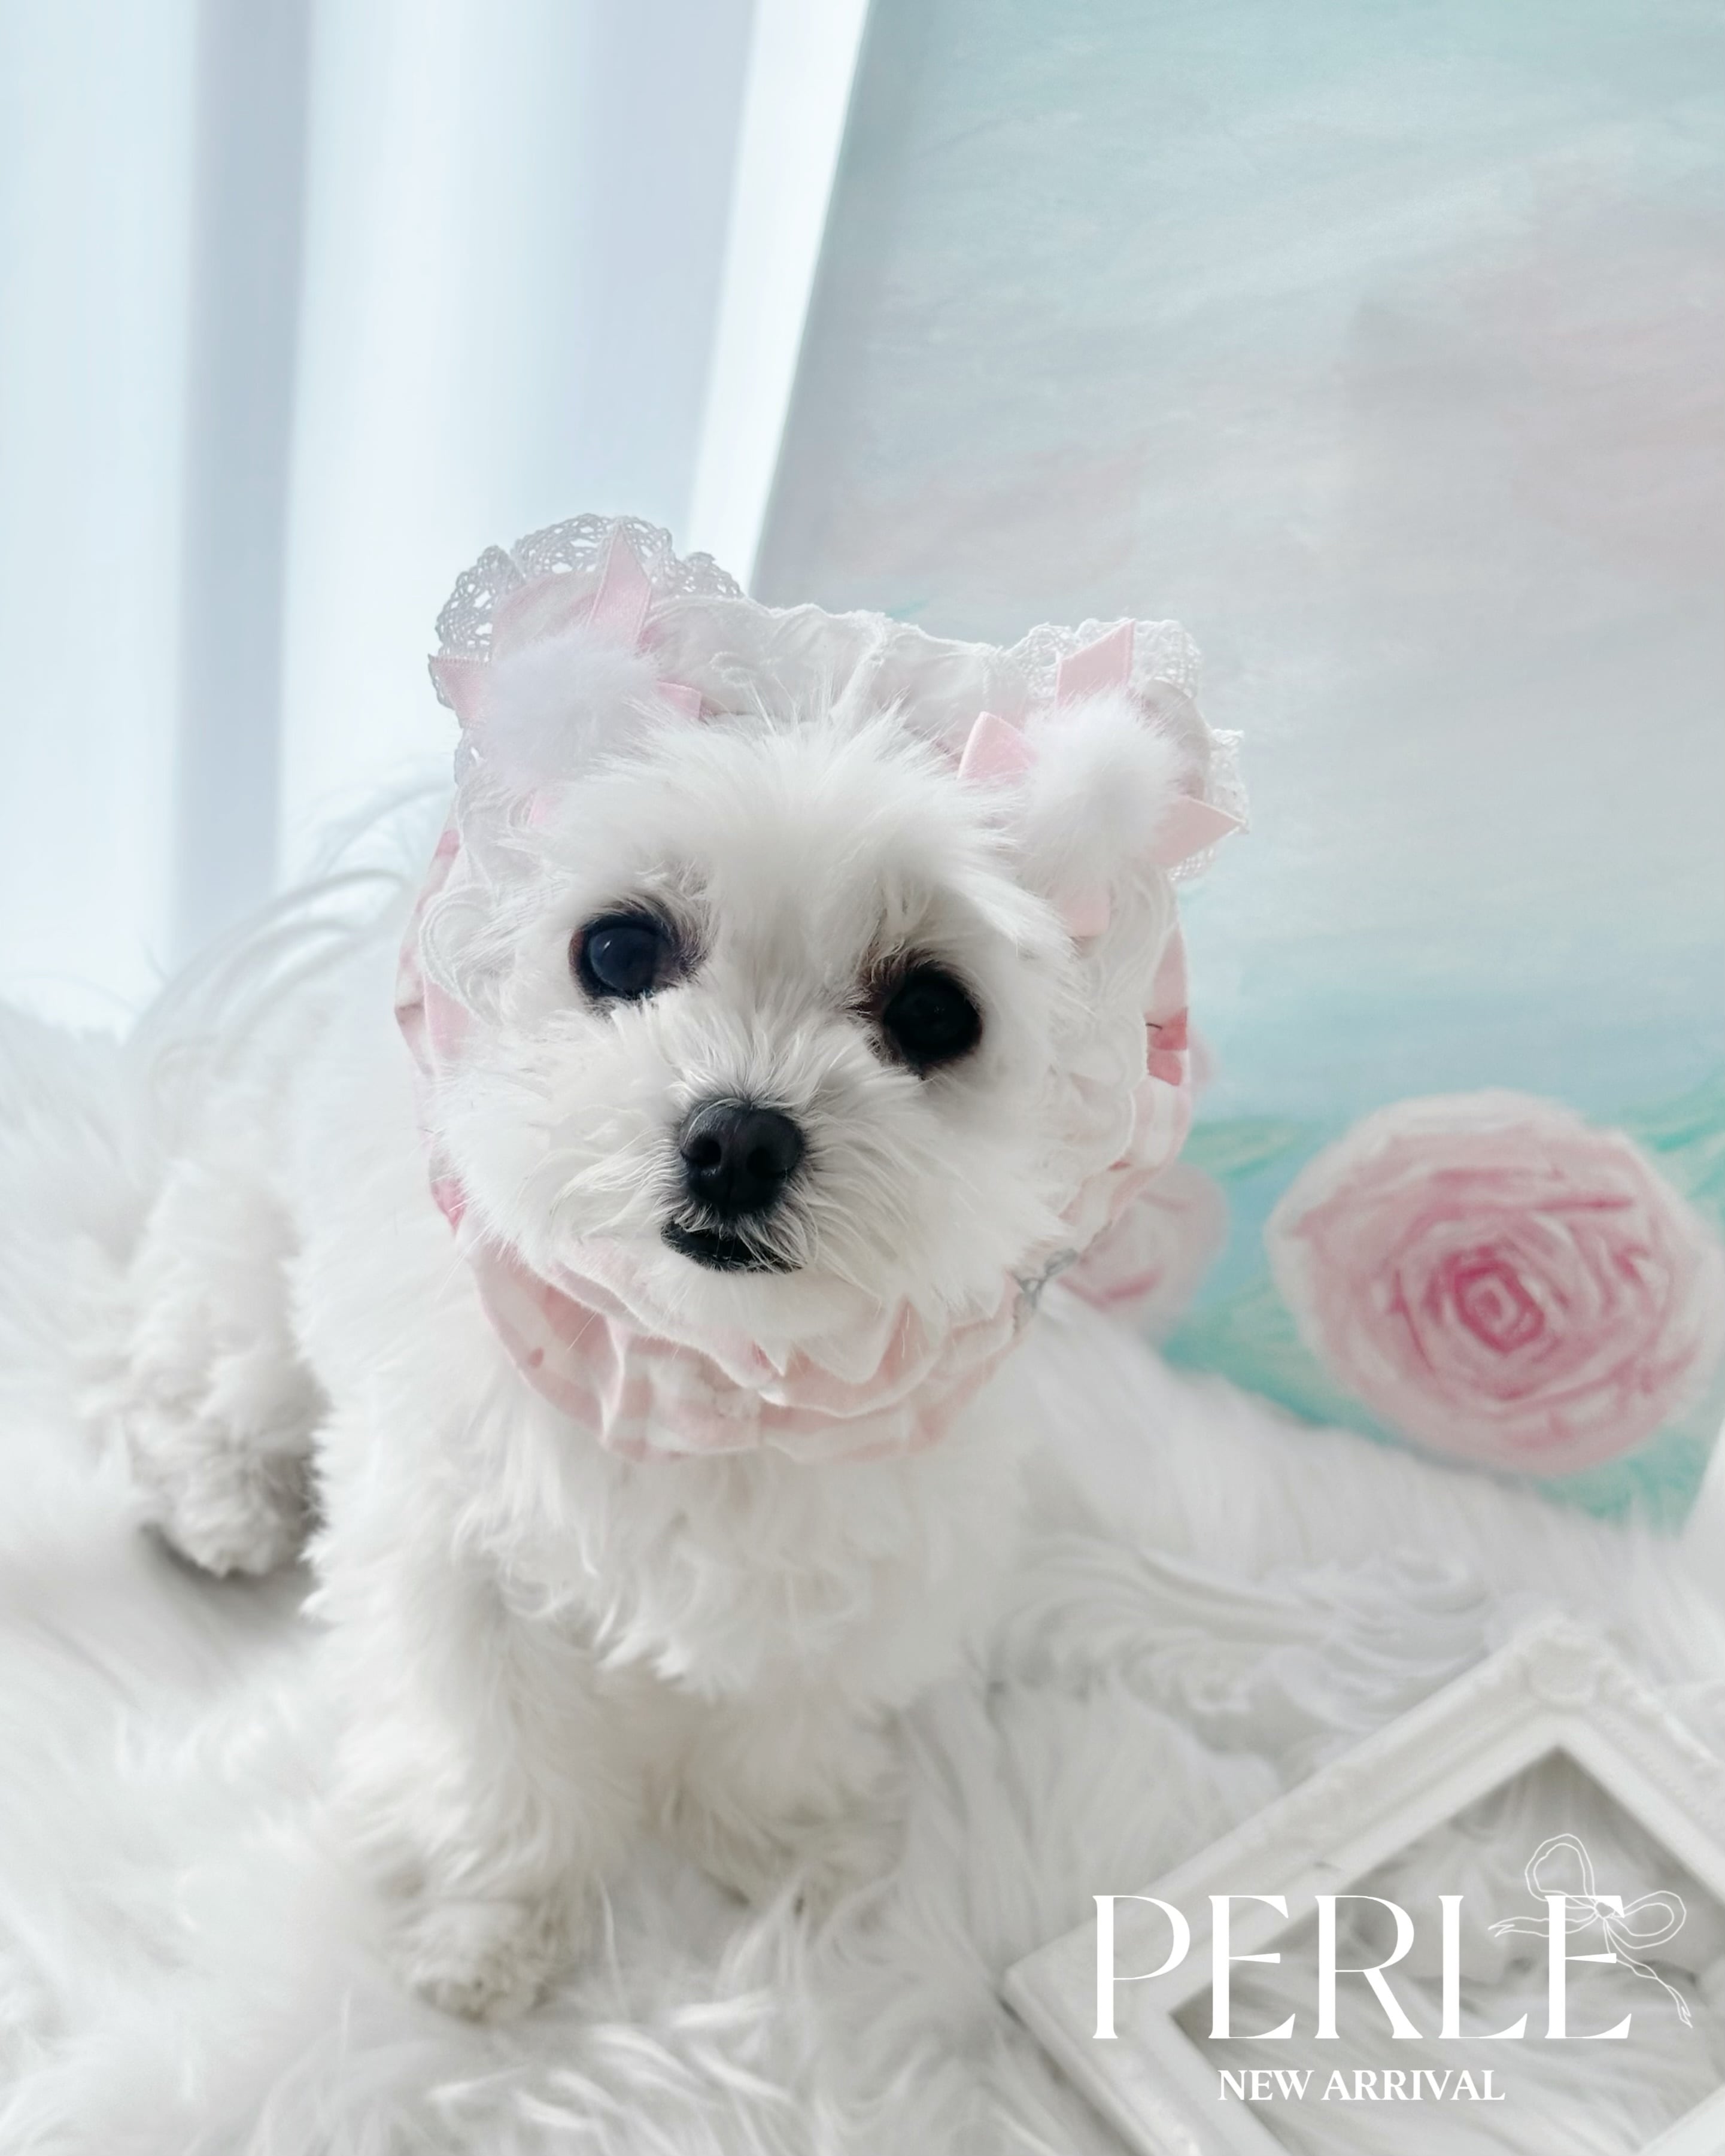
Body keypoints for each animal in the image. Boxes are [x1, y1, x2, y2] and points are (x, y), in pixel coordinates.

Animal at [110, 514, 1242, 2019]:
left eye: (934, 1011)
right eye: (618, 945)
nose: (736, 1135)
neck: (705, 1363)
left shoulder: (868, 1547)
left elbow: (786, 1716)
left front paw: (784, 1851)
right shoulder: (454, 1552)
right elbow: (494, 1753)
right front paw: (494, 1924)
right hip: (252, 1267)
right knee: (216, 1370)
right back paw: (220, 1497)